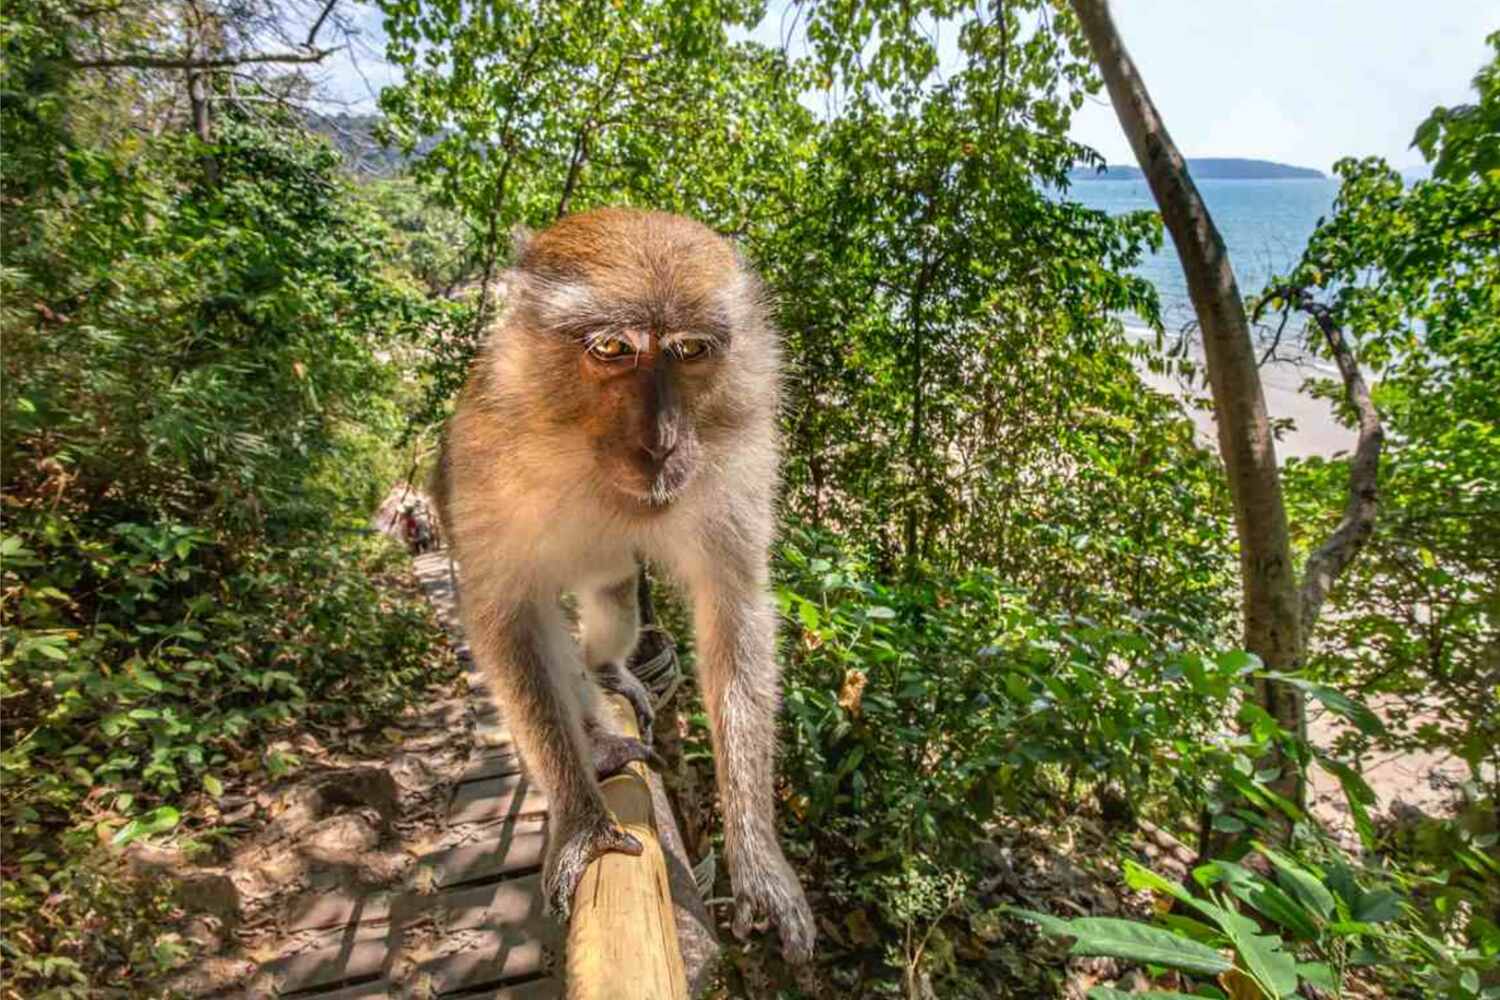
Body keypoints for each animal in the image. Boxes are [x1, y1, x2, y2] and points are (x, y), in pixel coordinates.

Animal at [429, 209, 816, 959]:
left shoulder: (738, 452)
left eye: (690, 350)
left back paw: (607, 669)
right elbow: (506, 620)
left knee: (613, 602)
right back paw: (597, 738)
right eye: (613, 347)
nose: (660, 443)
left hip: (608, 575)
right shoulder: (486, 455)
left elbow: (734, 609)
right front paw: (581, 820)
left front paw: (758, 860)